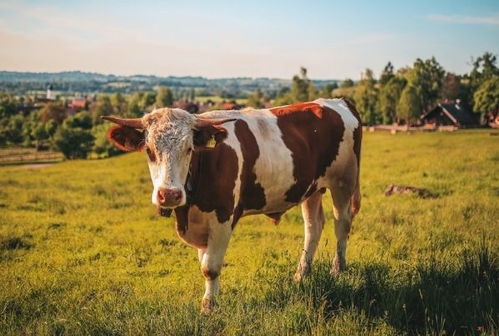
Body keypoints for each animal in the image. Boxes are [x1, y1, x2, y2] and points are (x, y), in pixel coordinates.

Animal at [104, 98, 364, 314]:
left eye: (189, 149)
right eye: (149, 151)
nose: (169, 194)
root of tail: (337, 101)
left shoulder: (223, 216)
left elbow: (210, 267)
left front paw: (209, 308)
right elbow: (204, 262)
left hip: (344, 181)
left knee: (342, 223)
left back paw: (337, 270)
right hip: (311, 188)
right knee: (313, 227)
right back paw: (301, 275)